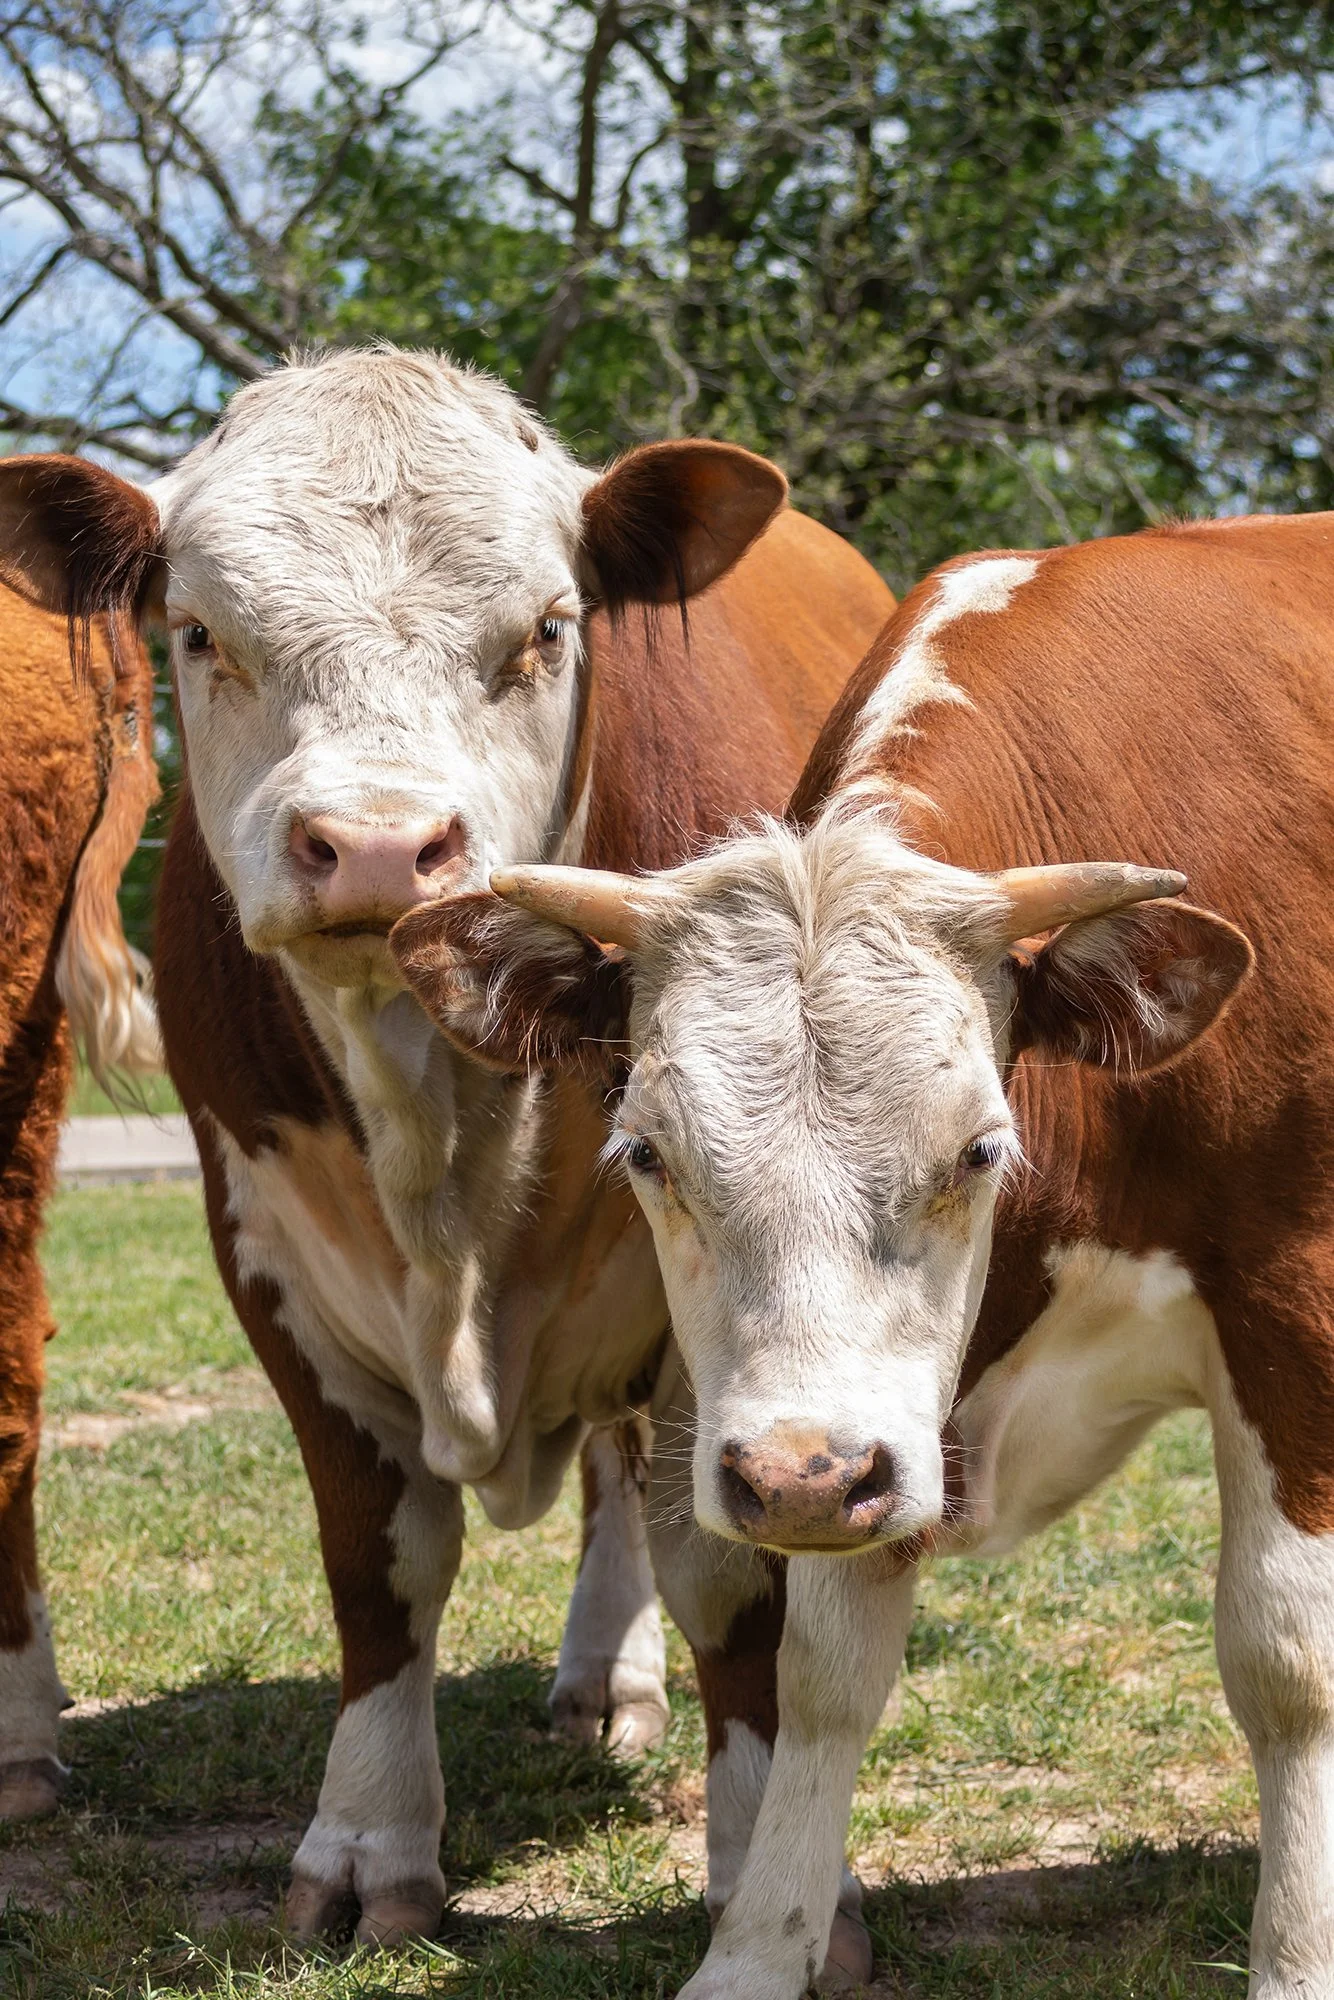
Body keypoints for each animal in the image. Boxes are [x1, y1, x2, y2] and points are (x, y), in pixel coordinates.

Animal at [0, 345, 894, 1951]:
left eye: (544, 631)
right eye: (200, 630)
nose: (373, 845)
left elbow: (728, 1574)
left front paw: (766, 1871)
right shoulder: (271, 1252)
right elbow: (381, 1560)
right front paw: (368, 1842)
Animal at [408, 515, 1334, 1997]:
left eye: (977, 1148)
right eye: (646, 1151)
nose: (792, 1475)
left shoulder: (1288, 1305)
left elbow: (1285, 1657)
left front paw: (1296, 1953)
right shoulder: (869, 1427)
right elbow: (824, 1673)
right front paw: (755, 1951)